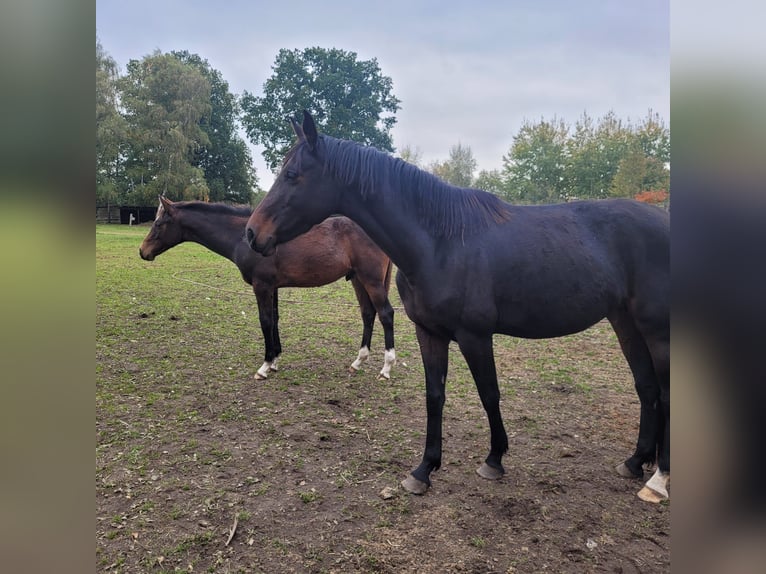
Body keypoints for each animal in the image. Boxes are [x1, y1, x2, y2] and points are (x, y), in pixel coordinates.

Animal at [139, 198, 400, 382]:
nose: (143, 251)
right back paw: (358, 362)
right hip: (358, 280)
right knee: (368, 314)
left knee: (386, 314)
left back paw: (386, 368)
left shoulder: (261, 285)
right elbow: (274, 319)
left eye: (159, 223)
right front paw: (275, 360)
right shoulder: (273, 287)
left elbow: (264, 321)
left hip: (371, 280)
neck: (244, 238)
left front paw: (264, 367)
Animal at [248, 112, 672, 504]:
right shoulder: (429, 333)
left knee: (665, 392)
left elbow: (489, 394)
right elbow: (434, 395)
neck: (439, 242)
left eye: (292, 174)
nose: (253, 233)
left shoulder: (475, 336)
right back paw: (635, 462)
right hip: (625, 323)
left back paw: (658, 481)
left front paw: (494, 460)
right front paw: (423, 470)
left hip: (656, 330)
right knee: (647, 387)